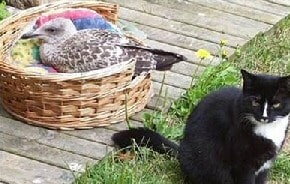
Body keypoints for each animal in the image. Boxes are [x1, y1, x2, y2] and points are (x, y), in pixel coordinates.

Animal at [111, 69, 290, 183]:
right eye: (255, 102)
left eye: (276, 103)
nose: (264, 116)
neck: (268, 131)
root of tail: (181, 149)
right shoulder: (242, 165)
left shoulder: (265, 166)